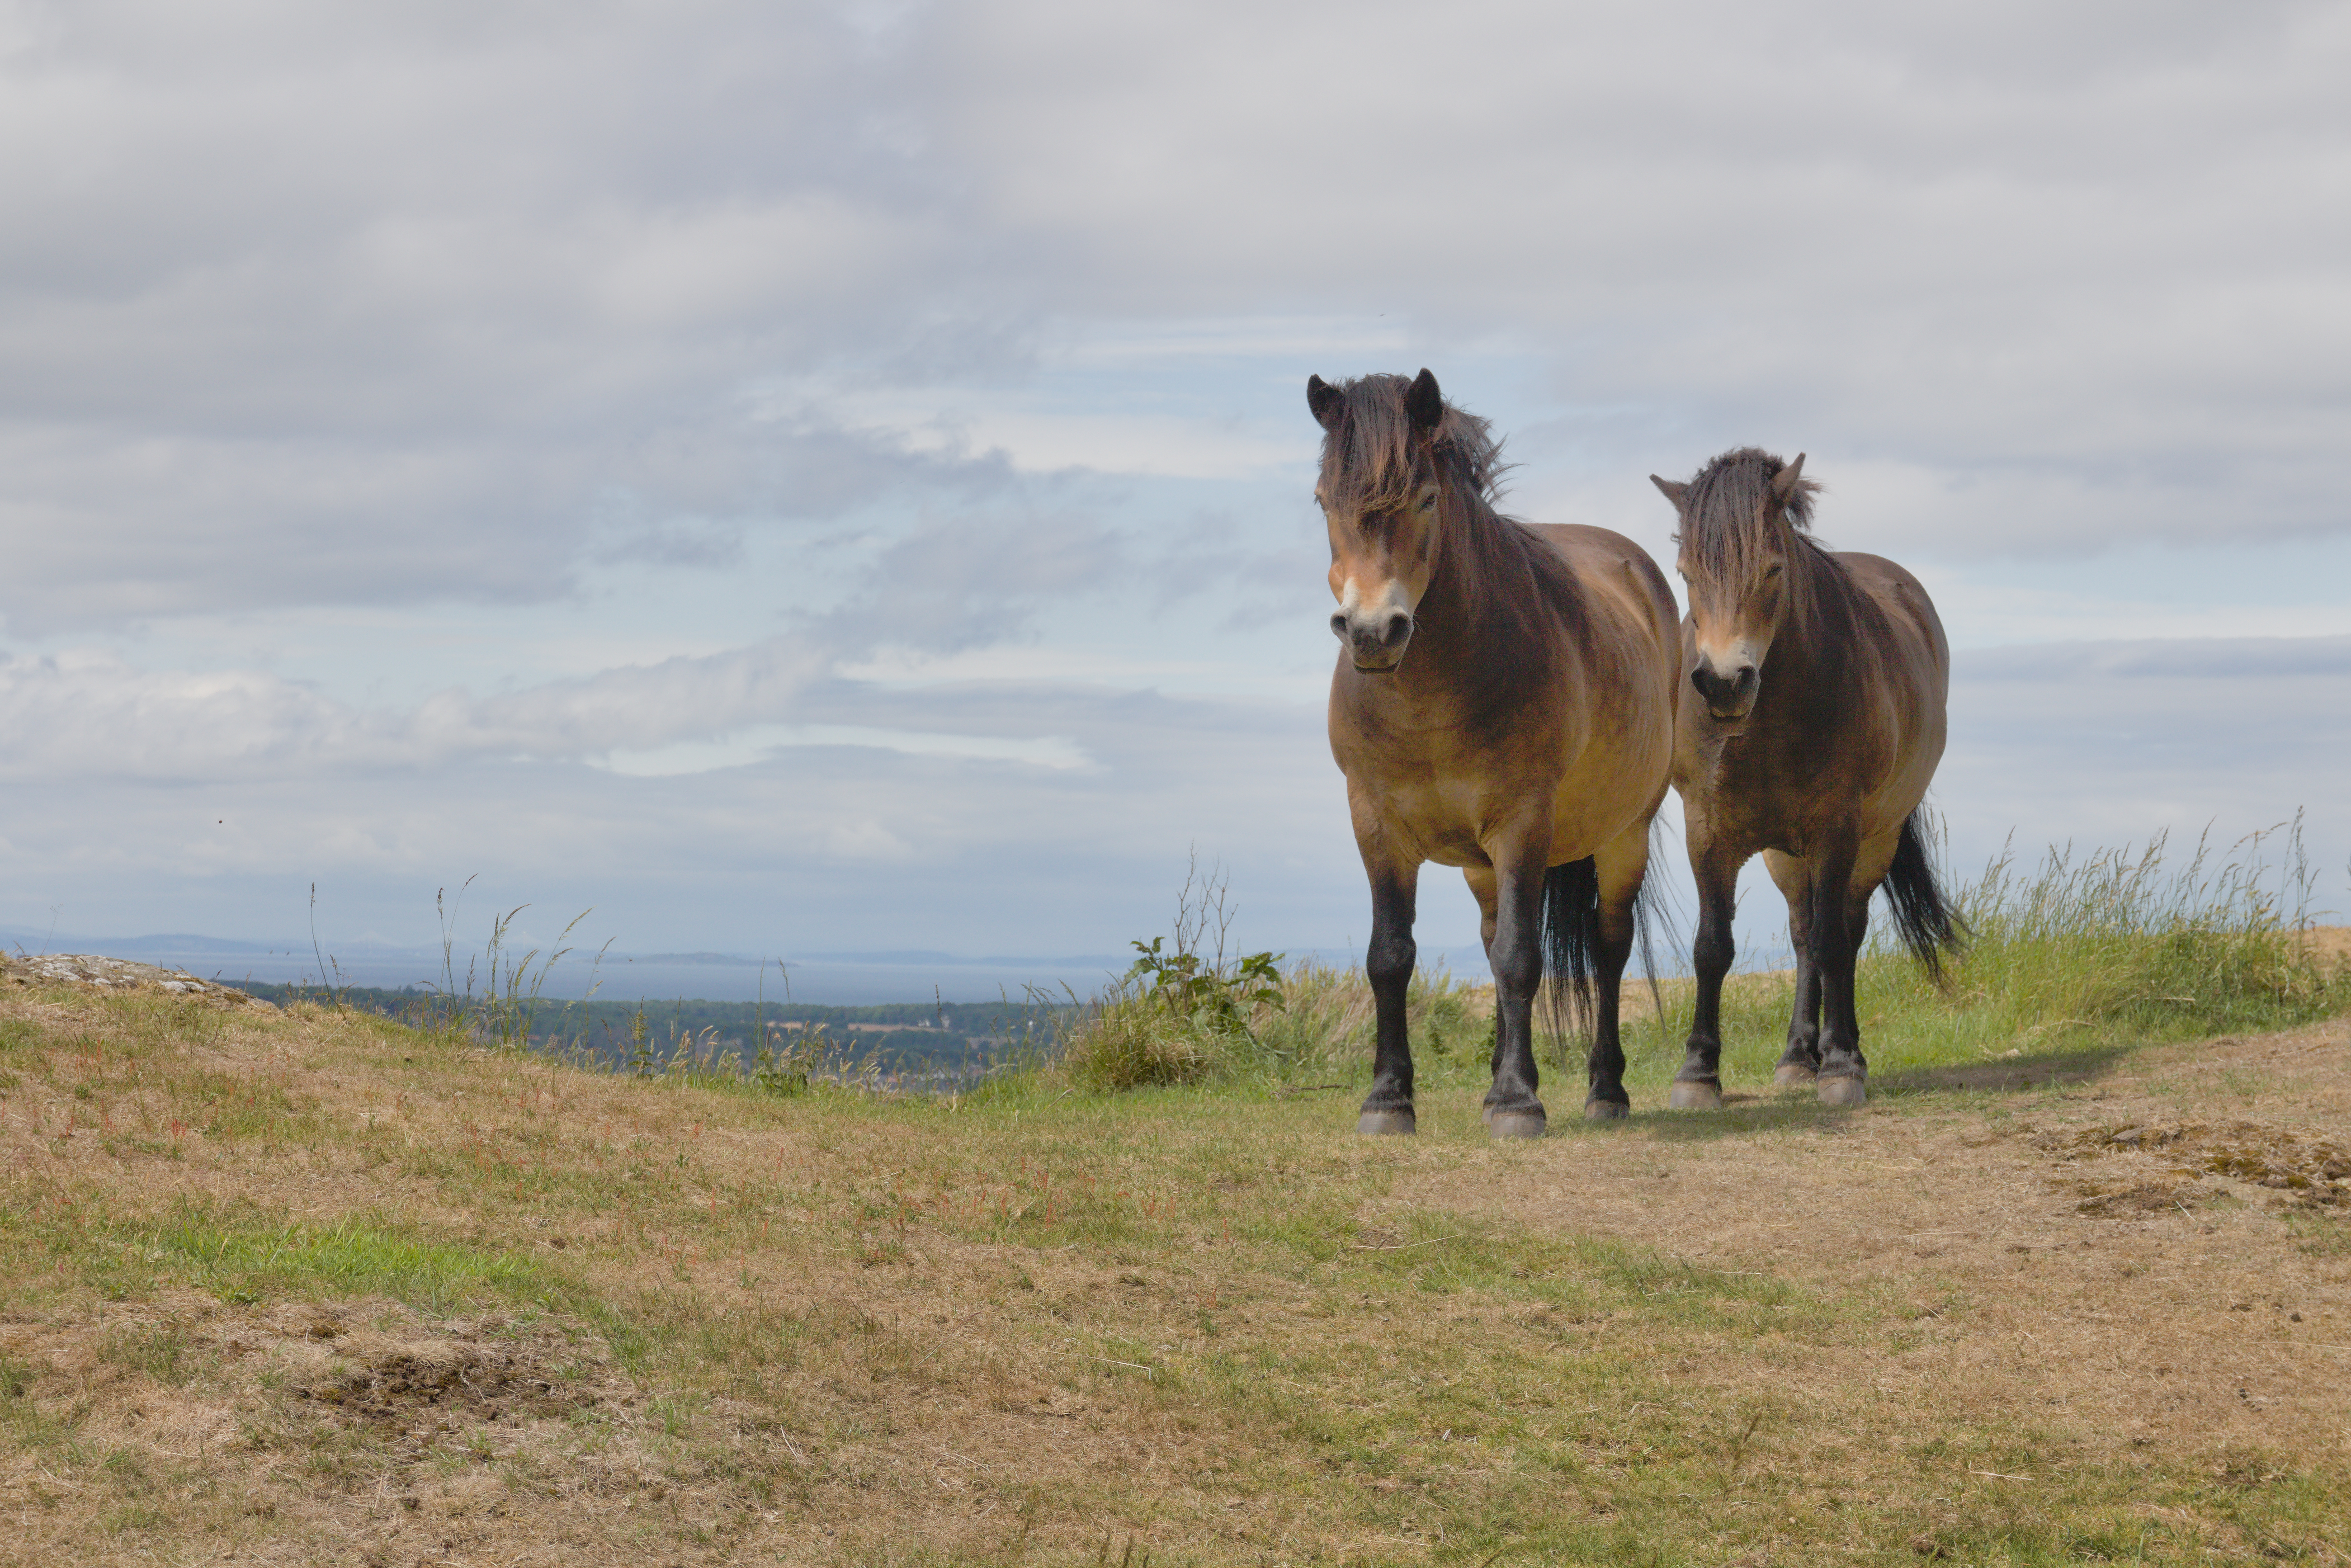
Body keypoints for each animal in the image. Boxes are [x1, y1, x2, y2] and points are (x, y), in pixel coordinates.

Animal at [1308, 369, 1681, 1137]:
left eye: (1425, 498)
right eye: (1325, 501)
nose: (1372, 632)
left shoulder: (1522, 823)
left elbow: (1519, 956)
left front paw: (1516, 1101)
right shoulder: (1376, 825)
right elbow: (1391, 956)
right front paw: (1388, 1099)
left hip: (1623, 835)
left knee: (1608, 947)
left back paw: (1606, 1090)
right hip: (1481, 863)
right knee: (1490, 935)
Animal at [1650, 448, 1962, 1109]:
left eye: (1771, 570)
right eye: (1686, 572)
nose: (1724, 683)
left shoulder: (1836, 832)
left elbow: (1833, 942)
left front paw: (1842, 1066)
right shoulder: (1705, 832)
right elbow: (1712, 947)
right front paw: (1698, 1072)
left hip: (1873, 841)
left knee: (1844, 930)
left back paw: (1843, 1053)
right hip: (1783, 855)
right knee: (1800, 934)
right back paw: (1798, 1055)